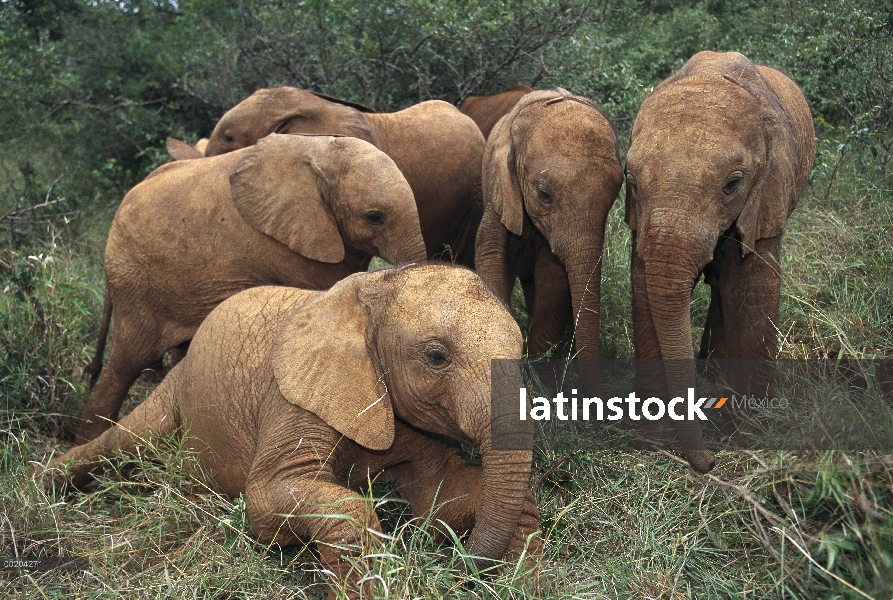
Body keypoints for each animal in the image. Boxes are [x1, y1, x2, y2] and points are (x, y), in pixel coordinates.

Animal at [38, 266, 540, 600]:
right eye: (437, 356)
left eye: (522, 349)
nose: (460, 568)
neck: (369, 292)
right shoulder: (293, 394)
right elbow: (269, 495)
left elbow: (442, 496)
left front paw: (524, 575)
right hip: (177, 390)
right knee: (125, 440)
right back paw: (41, 485)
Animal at [474, 89, 620, 384]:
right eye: (544, 194)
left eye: (615, 196)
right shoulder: (500, 190)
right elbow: (491, 257)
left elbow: (554, 278)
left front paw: (539, 376)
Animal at [624, 50, 812, 474]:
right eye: (632, 182)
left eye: (732, 184)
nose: (708, 463)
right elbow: (645, 283)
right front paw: (654, 443)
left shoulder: (767, 192)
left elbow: (751, 285)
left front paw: (748, 435)